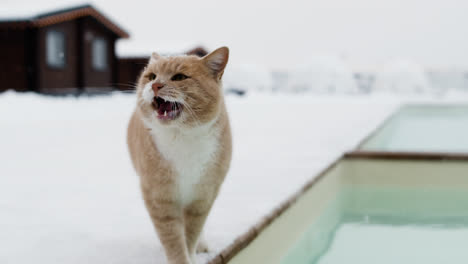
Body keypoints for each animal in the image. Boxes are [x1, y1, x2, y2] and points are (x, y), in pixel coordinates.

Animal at [126, 47, 232, 264]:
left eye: (179, 77)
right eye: (152, 76)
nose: (155, 85)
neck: (182, 137)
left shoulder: (203, 195)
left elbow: (191, 233)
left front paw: (191, 253)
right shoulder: (160, 197)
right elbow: (173, 238)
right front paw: (179, 257)